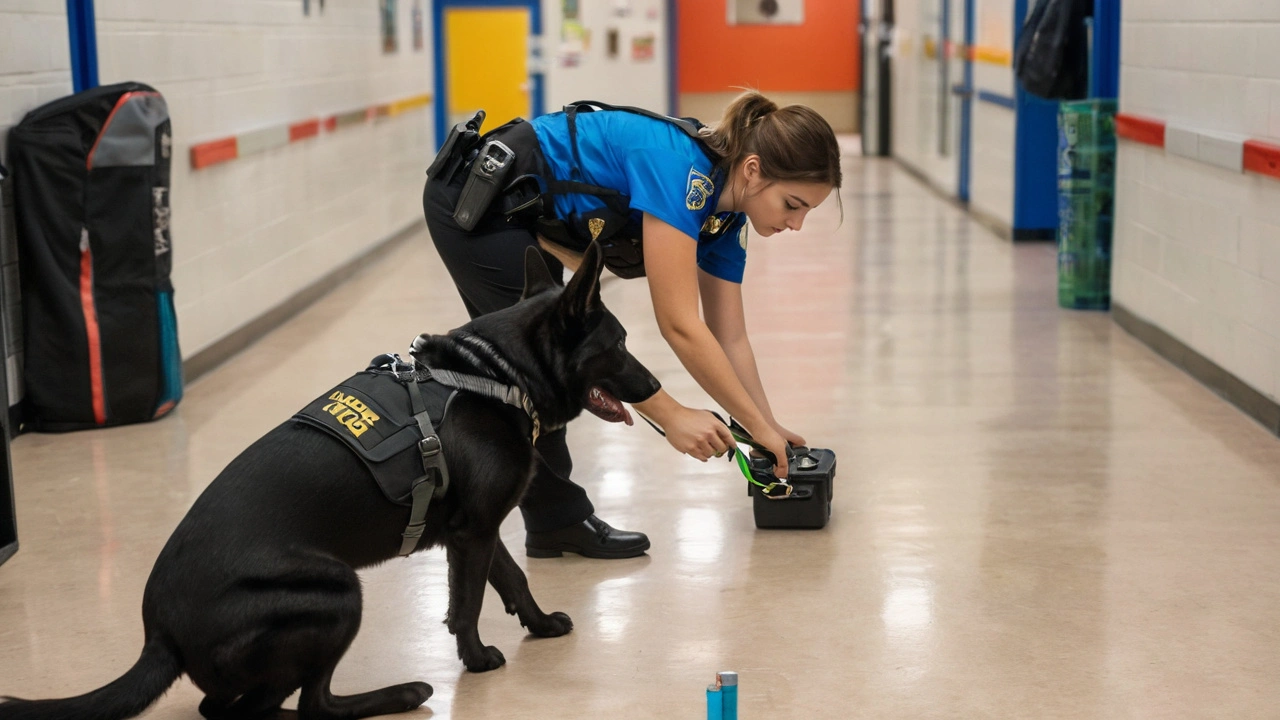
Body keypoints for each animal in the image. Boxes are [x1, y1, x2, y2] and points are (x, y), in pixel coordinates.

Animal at [0, 243, 660, 717]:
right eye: (621, 343)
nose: (656, 385)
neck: (493, 373)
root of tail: (158, 634)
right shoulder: (473, 532)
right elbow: (470, 601)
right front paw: (475, 661)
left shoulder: (474, 527)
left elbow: (510, 579)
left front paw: (540, 626)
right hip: (339, 590)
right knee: (304, 706)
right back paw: (400, 695)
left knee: (231, 707)